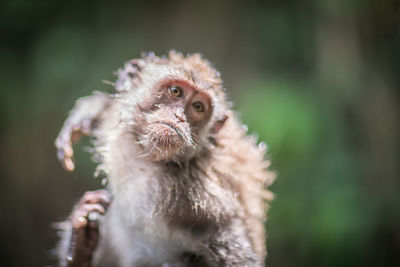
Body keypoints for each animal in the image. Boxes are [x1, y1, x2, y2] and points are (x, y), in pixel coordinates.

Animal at [54, 51, 276, 266]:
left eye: (198, 107)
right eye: (176, 91)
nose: (179, 117)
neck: (150, 165)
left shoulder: (206, 199)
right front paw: (80, 240)